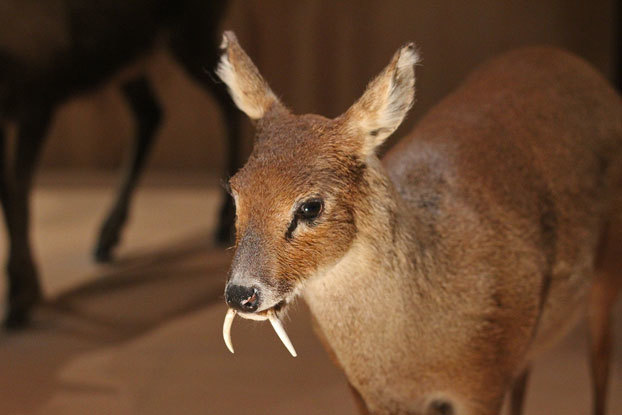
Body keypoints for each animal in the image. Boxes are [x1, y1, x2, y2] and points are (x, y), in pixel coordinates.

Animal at [218, 31, 622, 415]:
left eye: (310, 207)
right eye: (236, 192)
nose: (241, 293)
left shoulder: (484, 381)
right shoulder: (369, 392)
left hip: (607, 263)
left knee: (600, 362)